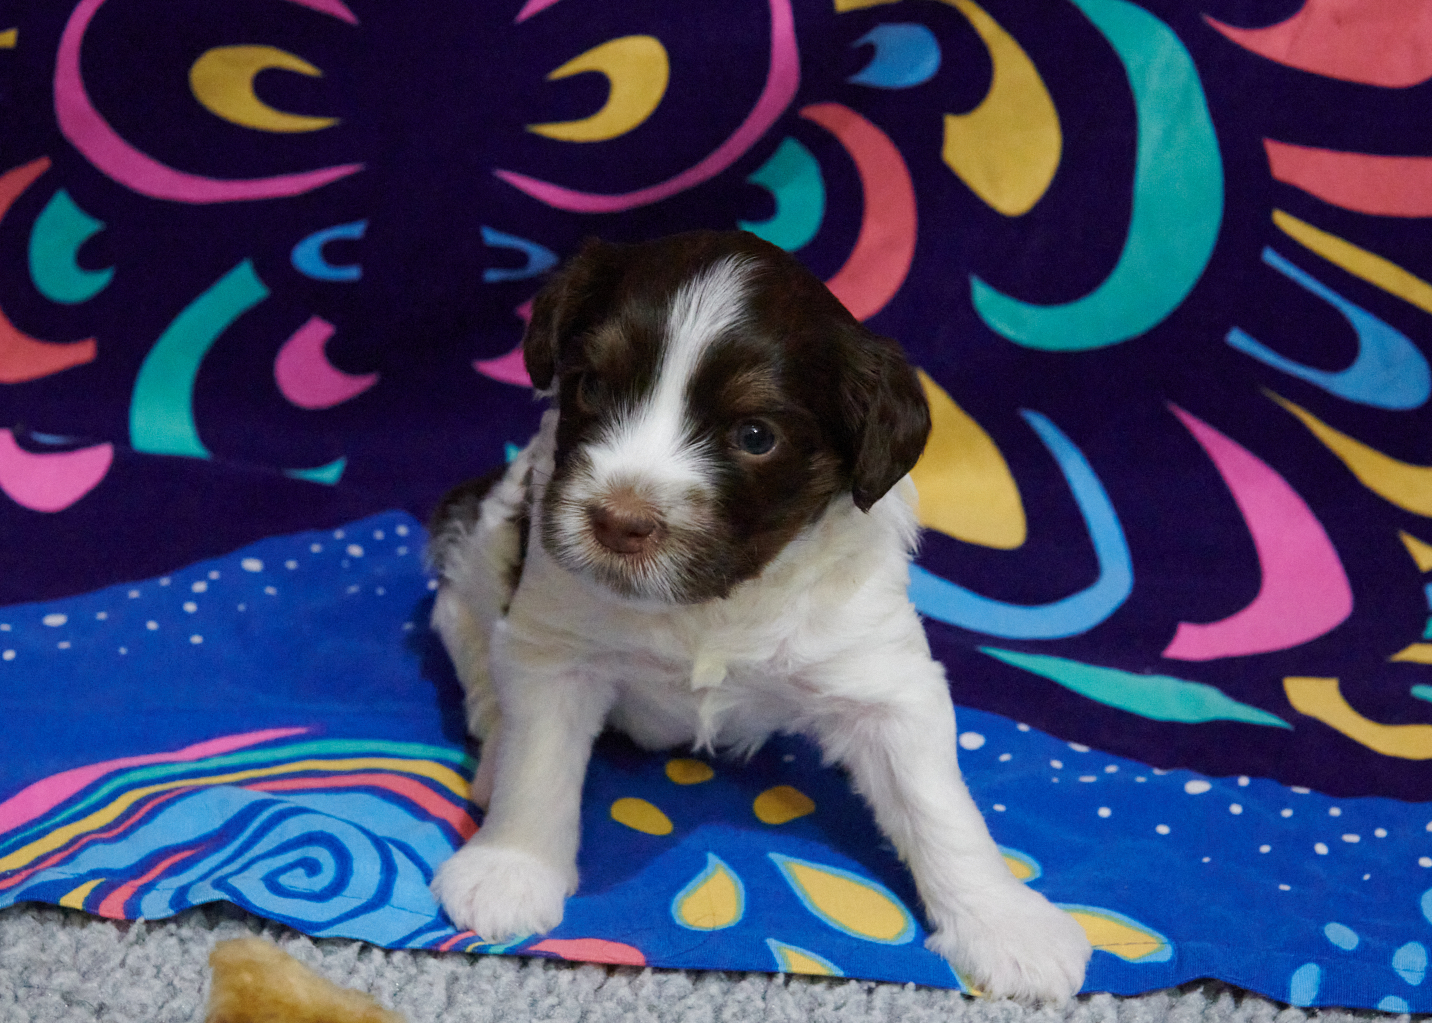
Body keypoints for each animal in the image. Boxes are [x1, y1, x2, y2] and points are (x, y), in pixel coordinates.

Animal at [429, 229, 1088, 997]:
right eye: (591, 386)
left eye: (753, 436)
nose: (619, 522)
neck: (715, 599)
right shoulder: (555, 643)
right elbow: (538, 762)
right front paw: (511, 868)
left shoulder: (881, 674)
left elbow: (938, 804)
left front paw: (1005, 923)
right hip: (487, 535)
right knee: (459, 617)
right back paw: (490, 734)